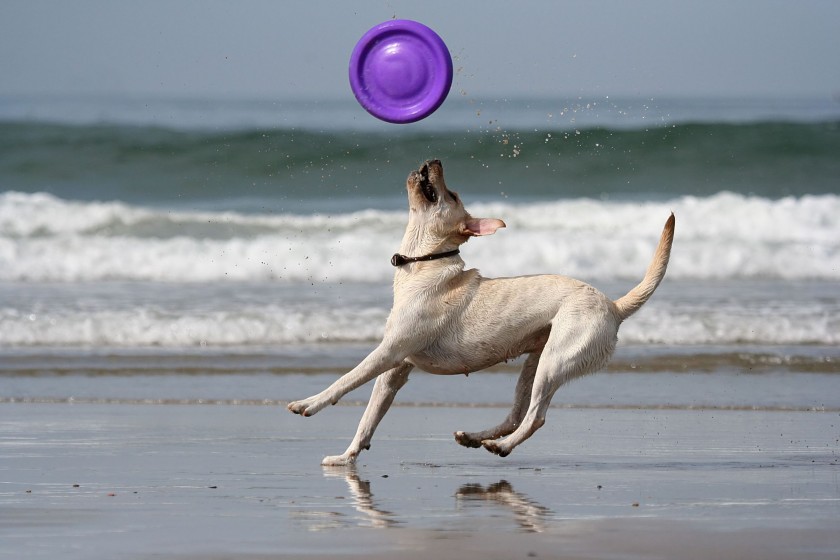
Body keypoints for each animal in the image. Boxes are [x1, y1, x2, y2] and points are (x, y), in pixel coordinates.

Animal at [288, 160, 676, 466]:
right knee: (517, 414)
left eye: (452, 194)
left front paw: (308, 403)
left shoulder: (389, 352)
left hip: (555, 361)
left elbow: (345, 380)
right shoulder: (394, 372)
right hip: (535, 363)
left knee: (535, 418)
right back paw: (477, 438)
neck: (424, 262)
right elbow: (368, 419)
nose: (433, 160)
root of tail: (614, 306)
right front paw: (346, 458)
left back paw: (500, 447)